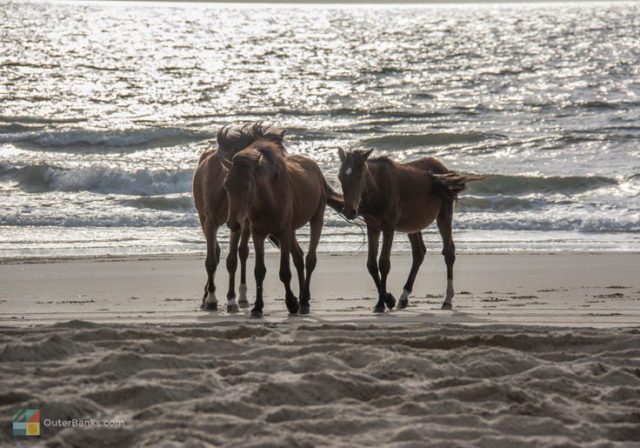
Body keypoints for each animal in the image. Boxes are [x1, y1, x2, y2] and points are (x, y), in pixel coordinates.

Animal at [192, 122, 288, 312]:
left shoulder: (238, 222)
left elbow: (232, 260)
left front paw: (231, 300)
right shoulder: (211, 221)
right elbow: (211, 260)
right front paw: (211, 299)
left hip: (245, 223)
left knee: (242, 253)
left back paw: (242, 297)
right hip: (205, 219)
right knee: (217, 252)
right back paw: (207, 297)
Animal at [225, 135, 344, 316]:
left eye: (247, 186)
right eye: (226, 185)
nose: (233, 223)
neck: (269, 198)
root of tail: (316, 168)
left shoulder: (283, 233)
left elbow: (285, 272)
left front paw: (291, 303)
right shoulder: (258, 234)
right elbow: (259, 271)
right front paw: (258, 306)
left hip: (316, 218)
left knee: (310, 259)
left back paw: (304, 302)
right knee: (298, 257)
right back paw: (302, 297)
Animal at [338, 149, 482, 314]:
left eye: (360, 175)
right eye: (340, 177)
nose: (350, 211)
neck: (378, 188)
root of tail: (444, 170)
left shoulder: (388, 228)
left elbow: (384, 263)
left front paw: (384, 302)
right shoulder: (372, 227)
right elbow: (372, 265)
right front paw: (386, 300)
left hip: (444, 216)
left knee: (449, 252)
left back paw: (447, 299)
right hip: (413, 225)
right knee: (419, 253)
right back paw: (404, 297)